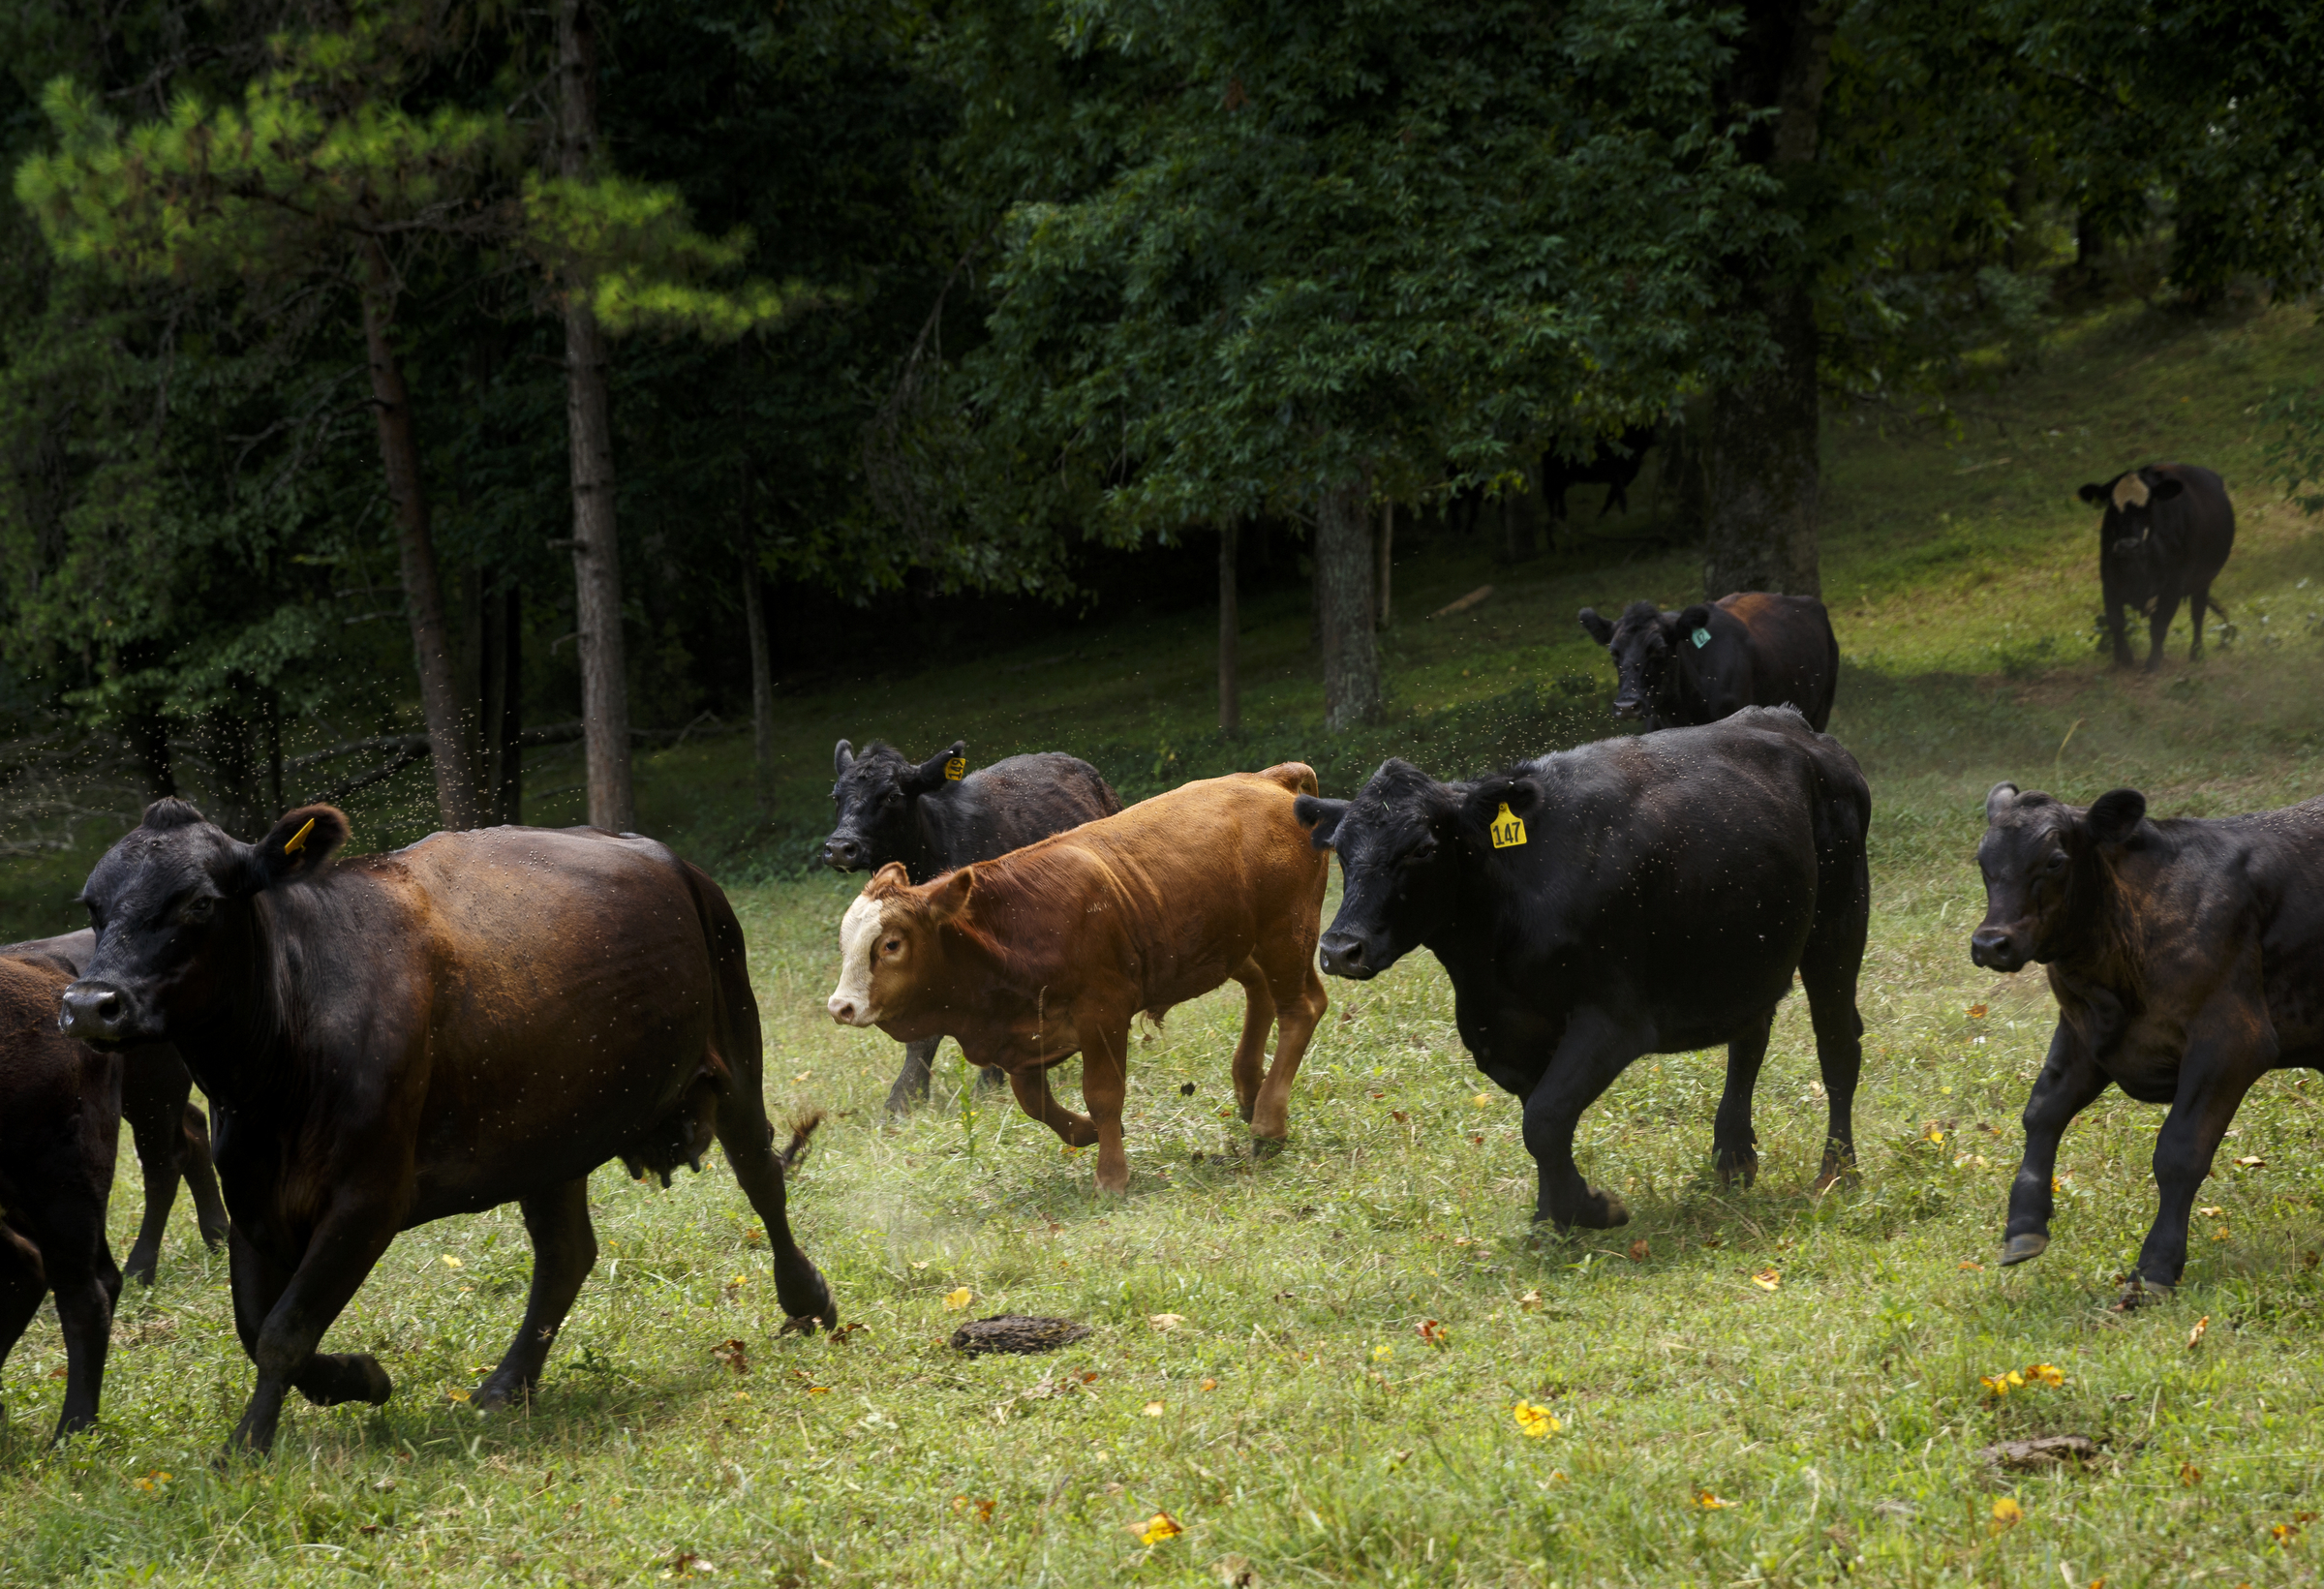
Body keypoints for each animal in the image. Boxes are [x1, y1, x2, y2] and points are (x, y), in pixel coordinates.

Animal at [55, 799, 833, 1455]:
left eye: (198, 902)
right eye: (94, 906)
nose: (92, 1003)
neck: (277, 1062)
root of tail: (664, 855)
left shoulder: (369, 1198)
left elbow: (283, 1329)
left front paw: (249, 1443)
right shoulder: (251, 1196)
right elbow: (255, 1325)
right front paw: (357, 1377)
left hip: (735, 1050)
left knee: (762, 1180)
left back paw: (808, 1300)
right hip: (550, 1132)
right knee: (566, 1253)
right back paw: (508, 1383)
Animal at [1296, 708, 1870, 1228]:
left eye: (1422, 848)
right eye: (1340, 851)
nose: (1341, 948)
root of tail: (1788, 720)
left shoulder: (1613, 1020)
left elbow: (1545, 1119)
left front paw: (1590, 1210)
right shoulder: (1503, 1033)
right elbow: (1541, 1120)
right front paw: (1551, 1218)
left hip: (1838, 926)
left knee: (1837, 1046)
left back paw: (1837, 1173)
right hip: (1749, 950)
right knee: (1750, 1039)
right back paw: (1733, 1157)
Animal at [1970, 782, 2324, 1305]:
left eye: (2055, 861)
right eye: (1982, 860)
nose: (1991, 943)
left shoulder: (2232, 1040)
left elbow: (2179, 1150)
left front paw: (2156, 1266)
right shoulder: (2084, 1032)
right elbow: (2042, 1110)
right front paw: (2024, 1222)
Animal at [2077, 464, 2235, 671]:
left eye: (2148, 505)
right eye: (2112, 506)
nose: (2128, 545)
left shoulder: (2173, 585)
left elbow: (2159, 626)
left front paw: (2153, 663)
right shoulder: (2109, 582)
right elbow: (2116, 621)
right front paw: (2123, 658)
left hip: (2203, 580)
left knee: (2198, 613)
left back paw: (2196, 653)